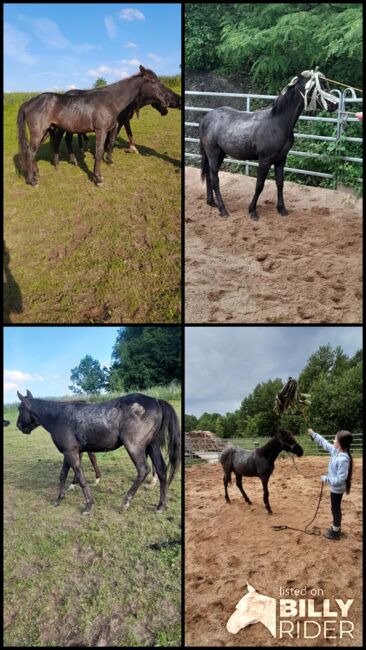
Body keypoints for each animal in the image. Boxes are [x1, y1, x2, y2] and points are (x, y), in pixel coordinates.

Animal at [16, 388, 180, 512]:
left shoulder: (71, 453)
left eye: (20, 408)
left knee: (143, 470)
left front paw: (88, 505)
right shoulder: (69, 452)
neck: (58, 417)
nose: (18, 425)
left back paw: (126, 502)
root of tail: (156, 401)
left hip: (135, 447)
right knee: (162, 471)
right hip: (153, 446)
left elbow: (81, 477)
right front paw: (59, 499)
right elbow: (62, 475)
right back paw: (160, 505)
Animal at [17, 65, 170, 185]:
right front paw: (97, 178)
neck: (110, 100)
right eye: (153, 81)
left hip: (45, 132)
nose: (166, 101)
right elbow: (99, 152)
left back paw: (37, 172)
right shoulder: (100, 131)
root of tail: (28, 102)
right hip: (39, 132)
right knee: (30, 152)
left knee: (33, 151)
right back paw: (32, 180)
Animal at [199, 68, 338, 219]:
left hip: (220, 154)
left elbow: (280, 183)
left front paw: (282, 209)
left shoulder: (281, 159)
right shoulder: (265, 160)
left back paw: (211, 202)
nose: (335, 104)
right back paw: (223, 209)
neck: (277, 123)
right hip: (213, 153)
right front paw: (252, 211)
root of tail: (206, 118)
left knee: (209, 174)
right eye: (312, 86)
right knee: (215, 179)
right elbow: (259, 185)